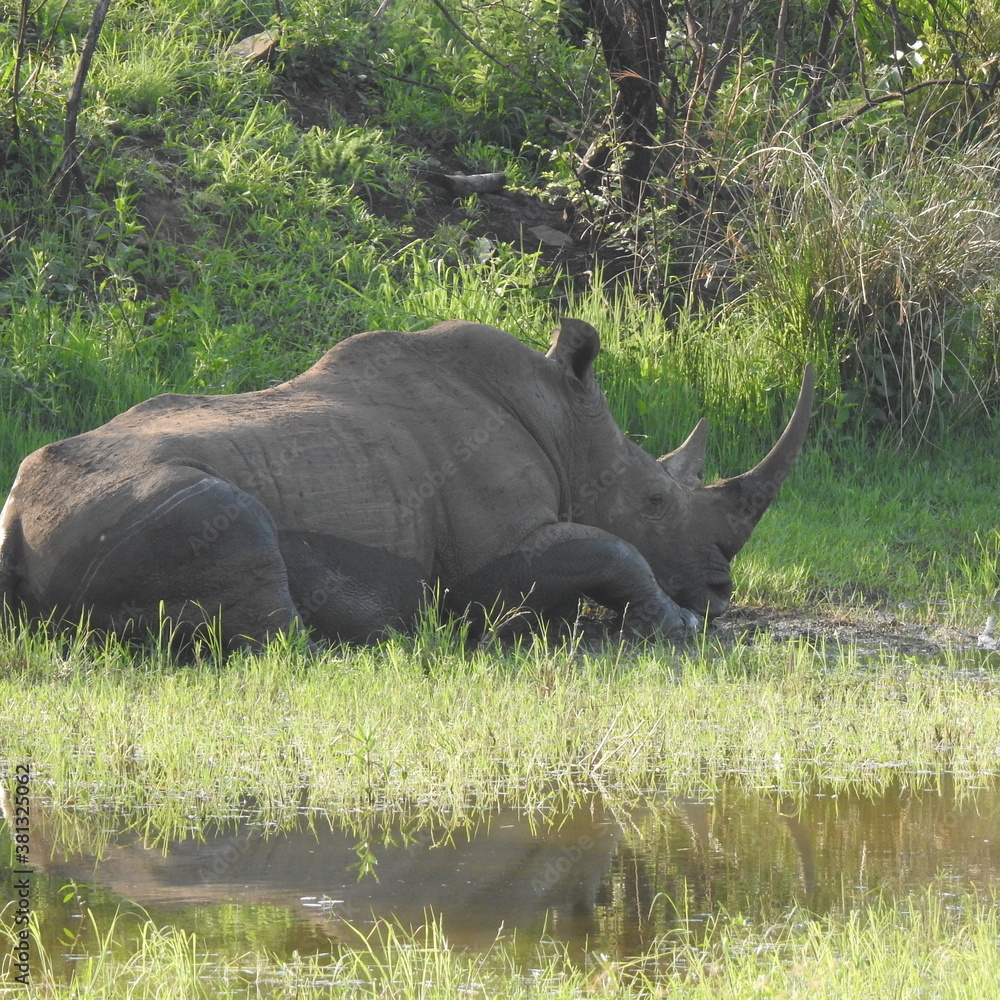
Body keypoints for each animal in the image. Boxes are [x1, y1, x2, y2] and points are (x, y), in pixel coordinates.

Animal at [0, 319, 813, 651]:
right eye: (654, 501)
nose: (720, 594)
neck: (565, 427)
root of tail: (12, 527)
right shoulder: (495, 559)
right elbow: (612, 549)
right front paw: (674, 627)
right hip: (151, 503)